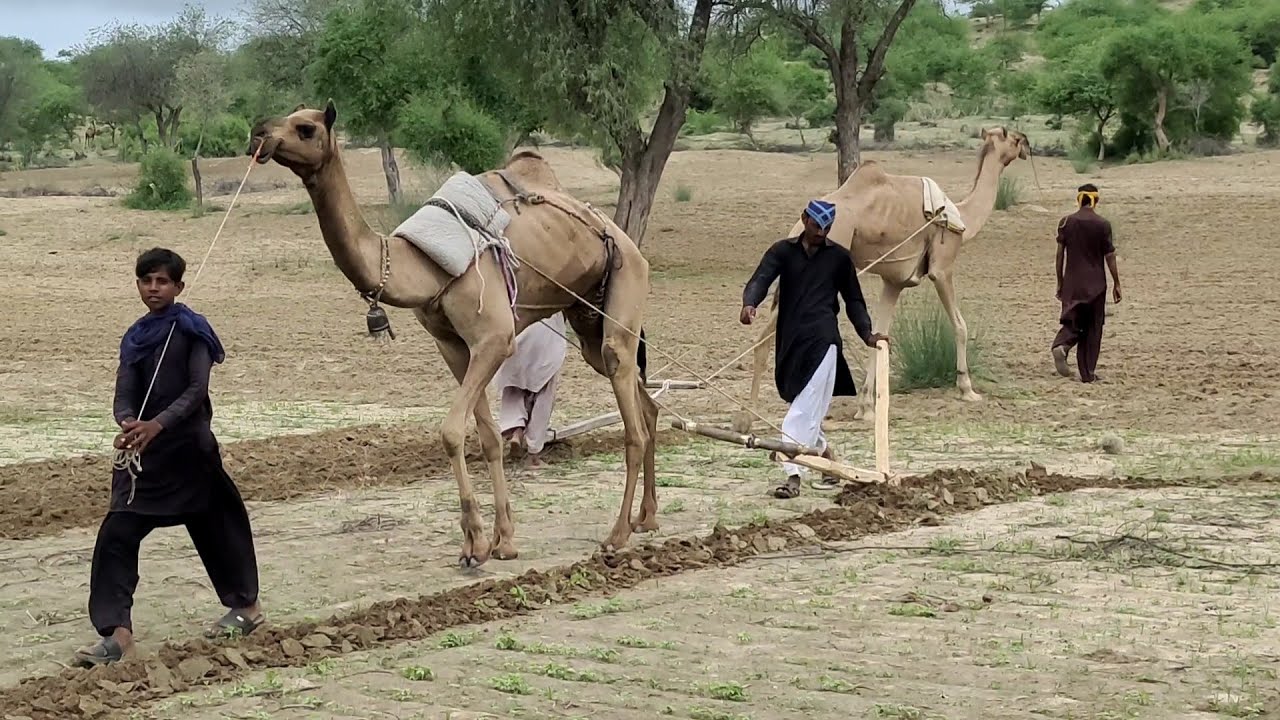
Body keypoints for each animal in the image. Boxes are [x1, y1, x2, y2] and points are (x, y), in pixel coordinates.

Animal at [247, 102, 659, 567]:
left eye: (305, 127)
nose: (258, 134)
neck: (419, 266)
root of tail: (621, 235)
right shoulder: (453, 347)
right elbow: (488, 438)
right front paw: (502, 540)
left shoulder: (494, 338)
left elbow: (450, 431)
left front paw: (475, 544)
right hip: (587, 313)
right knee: (644, 401)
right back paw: (648, 518)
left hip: (627, 279)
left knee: (631, 416)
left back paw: (617, 535)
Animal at [735, 127, 1030, 432]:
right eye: (1015, 139)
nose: (1026, 146)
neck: (963, 219)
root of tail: (798, 228)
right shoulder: (942, 267)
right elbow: (960, 326)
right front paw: (967, 389)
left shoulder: (894, 281)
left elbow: (878, 334)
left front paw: (865, 407)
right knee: (765, 339)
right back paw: (749, 418)